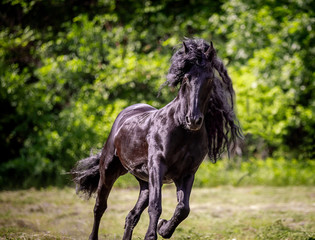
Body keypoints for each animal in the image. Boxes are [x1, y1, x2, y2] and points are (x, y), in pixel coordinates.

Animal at [73, 38, 243, 239]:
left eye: (209, 78)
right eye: (186, 78)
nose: (193, 120)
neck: (182, 131)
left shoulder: (187, 173)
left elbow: (183, 208)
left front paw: (163, 228)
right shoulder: (157, 166)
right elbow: (156, 207)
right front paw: (154, 233)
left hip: (144, 183)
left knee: (131, 215)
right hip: (109, 171)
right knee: (100, 206)